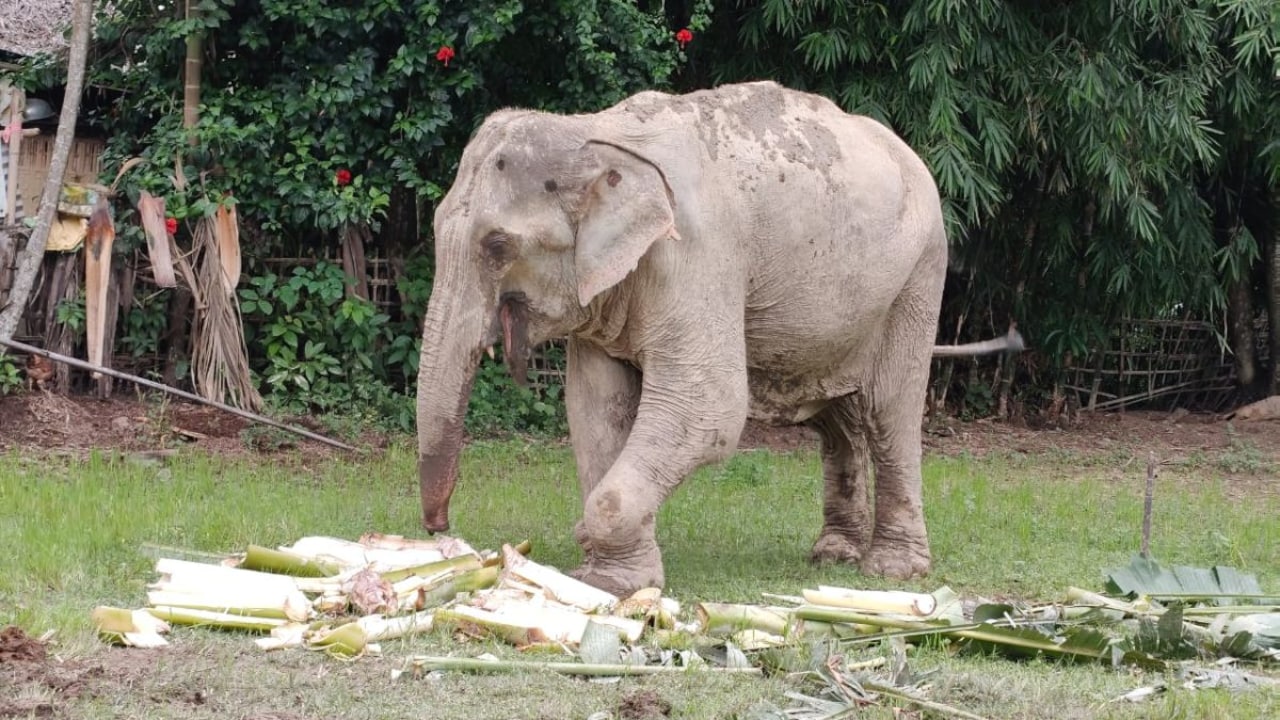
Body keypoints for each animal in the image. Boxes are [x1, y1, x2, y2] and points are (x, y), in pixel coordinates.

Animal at [415, 81, 1020, 597]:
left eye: (496, 245)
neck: (593, 132)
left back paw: (891, 570)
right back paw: (833, 554)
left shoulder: (698, 255)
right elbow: (594, 406)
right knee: (836, 416)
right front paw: (606, 573)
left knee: (888, 408)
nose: (441, 531)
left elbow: (709, 407)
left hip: (918, 275)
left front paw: (607, 579)